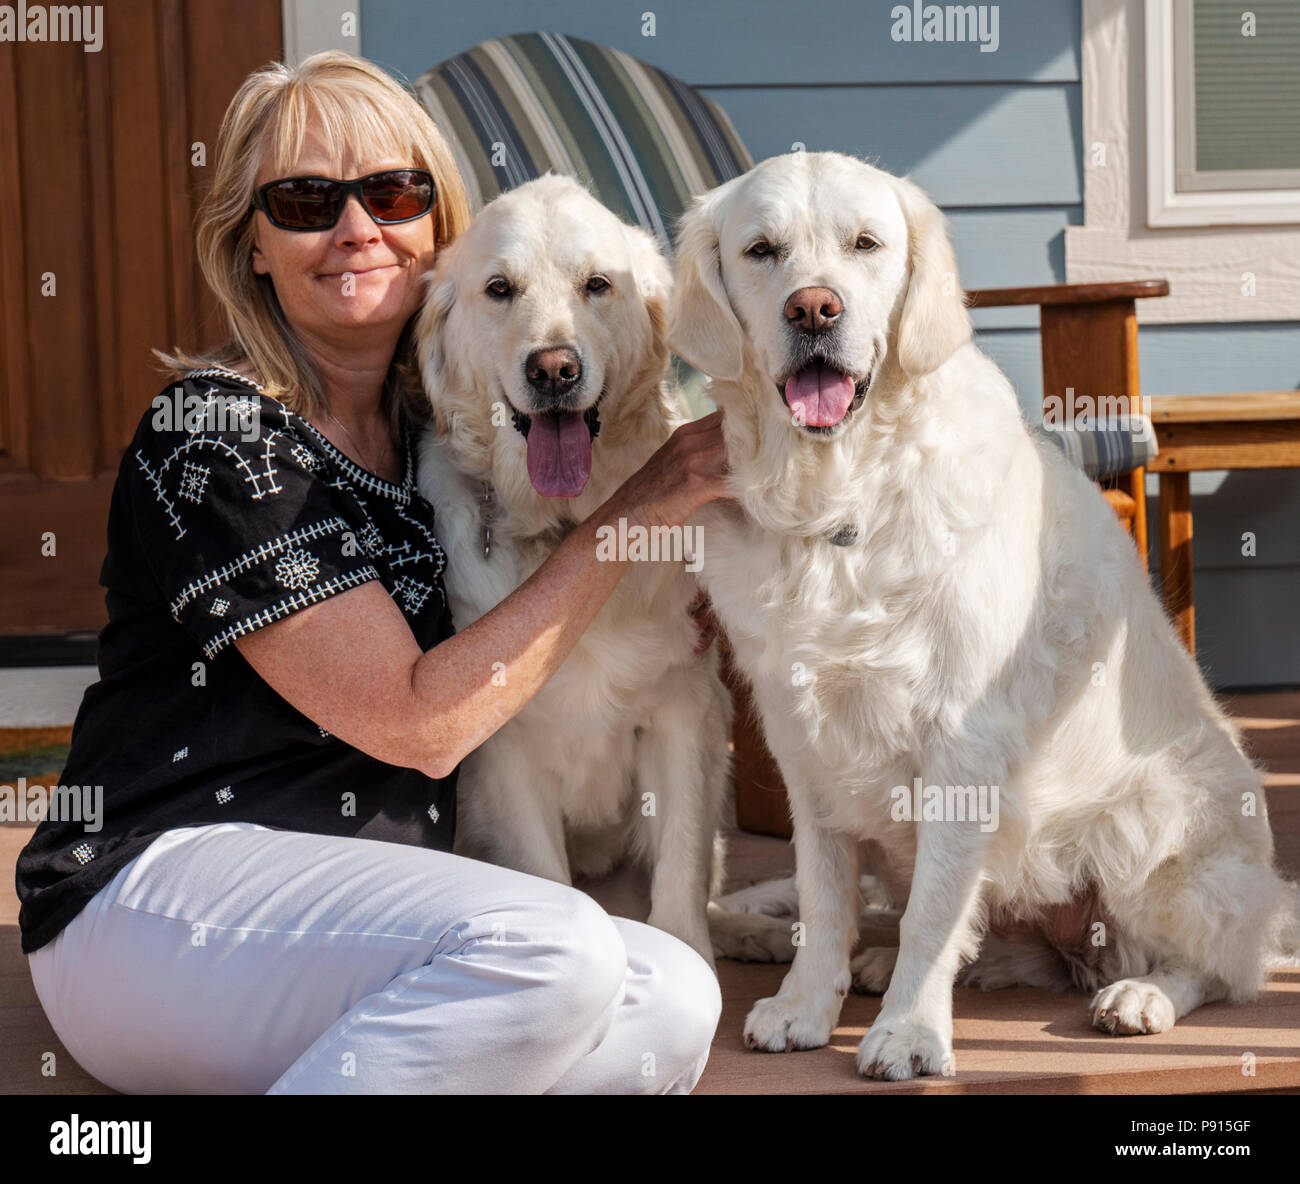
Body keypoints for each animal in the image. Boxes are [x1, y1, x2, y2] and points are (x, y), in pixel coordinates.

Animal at [413, 178, 733, 972]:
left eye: (598, 285)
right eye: (499, 289)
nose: (553, 369)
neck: (570, 531)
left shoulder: (683, 712)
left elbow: (681, 869)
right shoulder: (502, 755)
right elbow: (550, 881)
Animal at [670, 148, 1300, 1076]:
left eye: (865, 244)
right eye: (761, 251)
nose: (814, 308)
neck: (841, 504)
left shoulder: (963, 739)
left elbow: (936, 912)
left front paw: (908, 1033)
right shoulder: (802, 740)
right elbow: (824, 896)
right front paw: (807, 1005)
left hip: (1151, 827)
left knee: (1216, 968)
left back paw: (1140, 997)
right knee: (1014, 945)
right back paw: (889, 961)